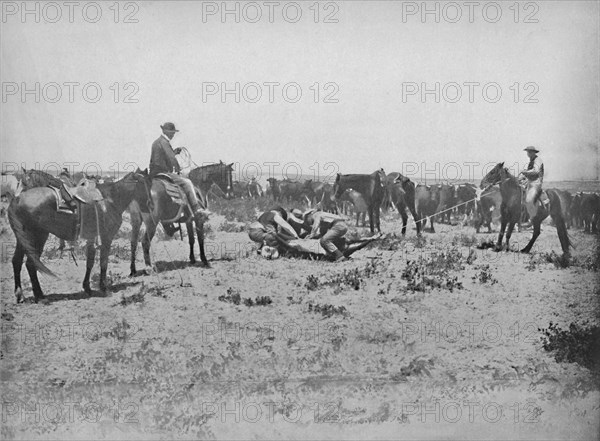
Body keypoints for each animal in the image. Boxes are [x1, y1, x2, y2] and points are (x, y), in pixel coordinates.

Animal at [7, 169, 150, 302]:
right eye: (144, 184)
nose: (150, 204)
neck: (111, 199)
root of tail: (17, 199)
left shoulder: (92, 238)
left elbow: (90, 262)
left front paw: (87, 287)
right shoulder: (107, 238)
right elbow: (103, 262)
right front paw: (103, 287)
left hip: (23, 239)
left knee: (17, 261)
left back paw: (21, 295)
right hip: (38, 236)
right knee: (30, 264)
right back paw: (39, 296)